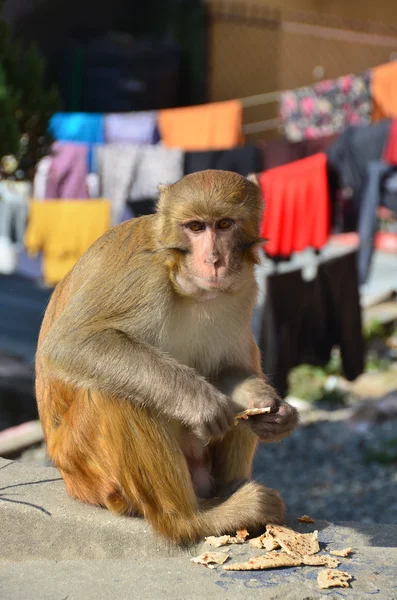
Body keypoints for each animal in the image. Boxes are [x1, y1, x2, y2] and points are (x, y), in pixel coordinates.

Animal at [36, 170, 296, 544]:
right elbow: (71, 343)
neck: (182, 278)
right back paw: (196, 520)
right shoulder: (141, 274)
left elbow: (230, 370)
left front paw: (273, 409)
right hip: (90, 472)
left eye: (224, 224)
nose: (214, 259)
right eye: (196, 227)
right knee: (119, 393)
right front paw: (199, 402)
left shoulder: (244, 289)